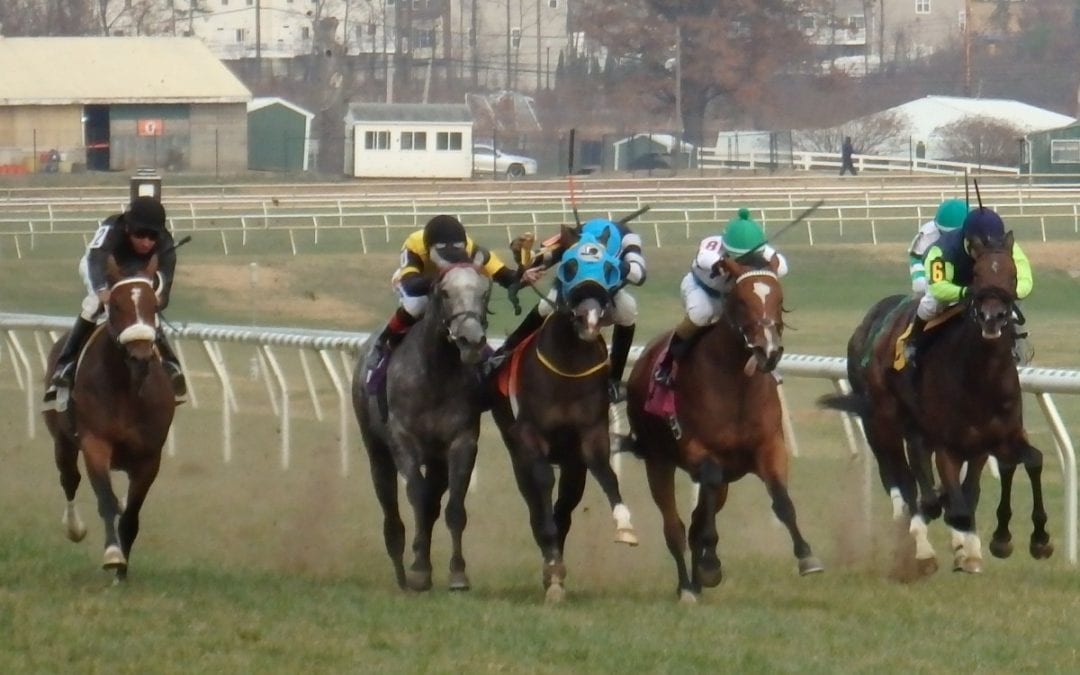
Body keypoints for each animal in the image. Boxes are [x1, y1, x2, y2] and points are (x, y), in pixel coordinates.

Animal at [42, 254, 174, 583]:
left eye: (154, 306)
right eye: (116, 305)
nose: (140, 356)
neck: (128, 388)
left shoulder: (149, 457)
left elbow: (131, 514)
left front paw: (122, 573)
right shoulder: (95, 443)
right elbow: (106, 501)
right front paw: (114, 555)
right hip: (62, 441)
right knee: (69, 479)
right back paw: (74, 528)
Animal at [352, 258, 492, 587]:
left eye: (485, 291)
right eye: (445, 292)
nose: (471, 340)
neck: (435, 373)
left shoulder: (462, 442)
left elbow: (453, 508)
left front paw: (457, 572)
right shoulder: (404, 440)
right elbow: (416, 495)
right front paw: (417, 569)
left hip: (437, 460)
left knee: (433, 502)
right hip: (377, 451)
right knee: (391, 504)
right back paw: (402, 571)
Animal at [622, 254, 820, 604]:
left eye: (780, 300)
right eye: (741, 301)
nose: (769, 352)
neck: (736, 383)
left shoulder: (769, 447)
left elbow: (781, 499)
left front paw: (806, 555)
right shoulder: (698, 450)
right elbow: (703, 505)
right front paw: (710, 564)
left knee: (697, 519)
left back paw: (697, 579)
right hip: (658, 462)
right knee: (674, 527)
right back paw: (687, 587)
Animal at [820, 231, 1049, 574]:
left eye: (1012, 274)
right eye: (977, 275)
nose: (993, 318)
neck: (981, 378)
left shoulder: (993, 439)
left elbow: (1023, 465)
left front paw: (1018, 541)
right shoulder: (946, 445)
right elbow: (951, 502)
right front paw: (959, 542)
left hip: (915, 433)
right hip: (881, 424)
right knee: (902, 482)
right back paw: (921, 547)